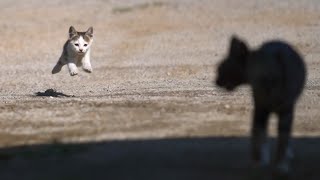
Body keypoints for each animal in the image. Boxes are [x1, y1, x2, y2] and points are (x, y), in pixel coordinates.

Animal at [216, 36, 306, 177]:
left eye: (220, 69)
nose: (215, 81)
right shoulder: (270, 109)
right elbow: (263, 136)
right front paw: (265, 161)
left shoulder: (264, 109)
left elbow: (260, 136)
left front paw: (263, 162)